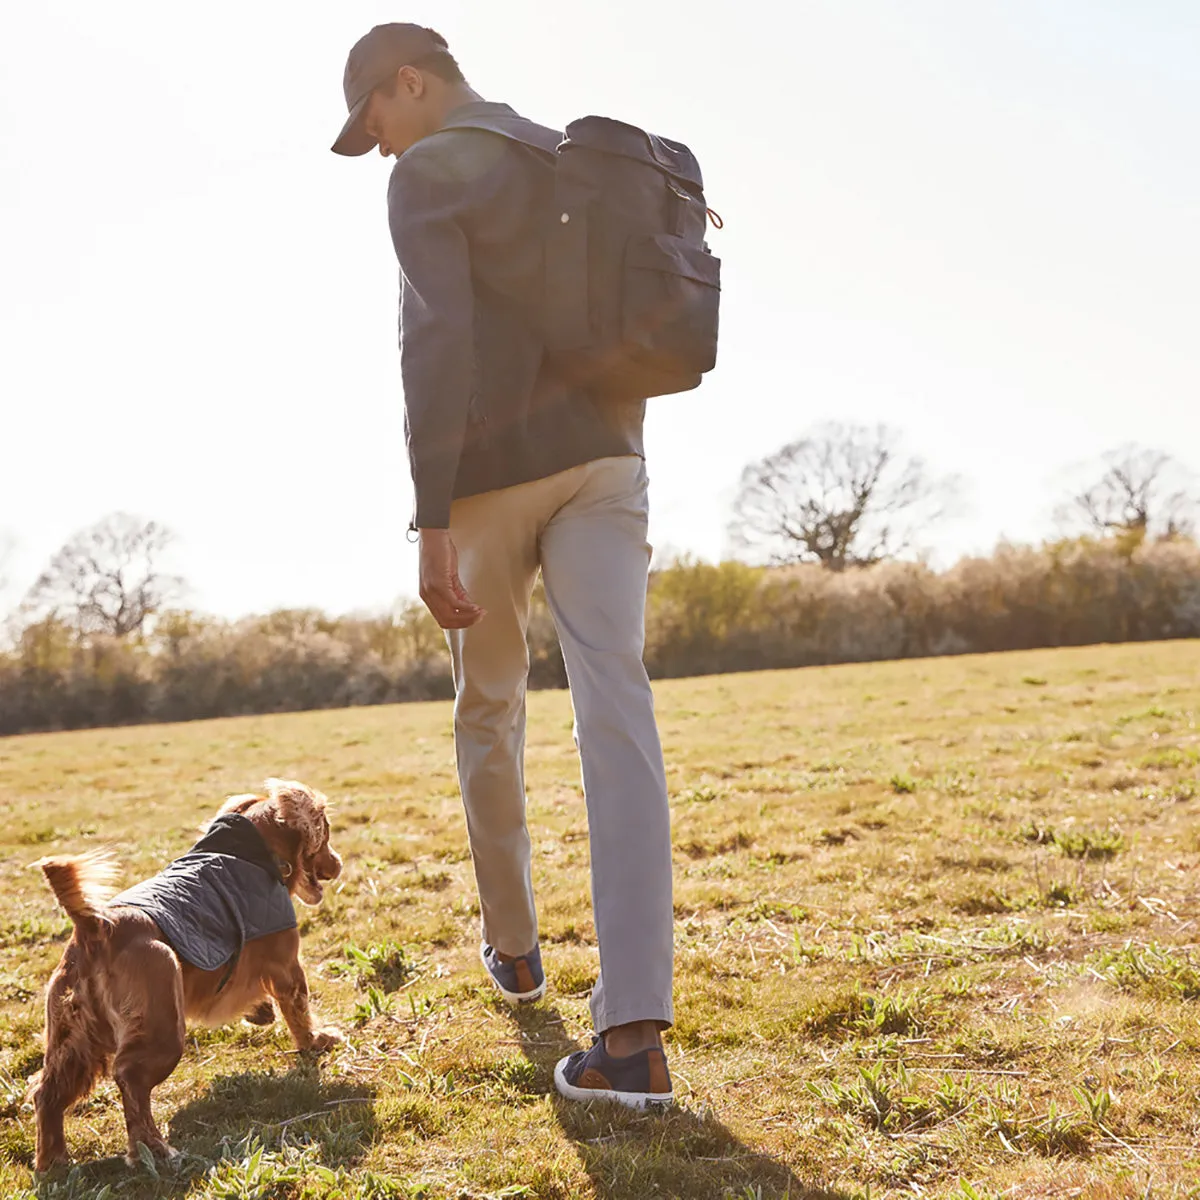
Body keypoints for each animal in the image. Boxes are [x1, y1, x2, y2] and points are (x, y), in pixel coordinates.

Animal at [28, 777, 345, 1171]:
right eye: (326, 831)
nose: (339, 864)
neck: (254, 852)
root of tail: (95, 927)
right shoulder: (286, 963)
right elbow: (299, 1011)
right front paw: (315, 1041)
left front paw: (260, 1012)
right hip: (160, 1022)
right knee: (130, 1080)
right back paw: (154, 1150)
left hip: (73, 1040)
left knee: (46, 1092)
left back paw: (52, 1161)